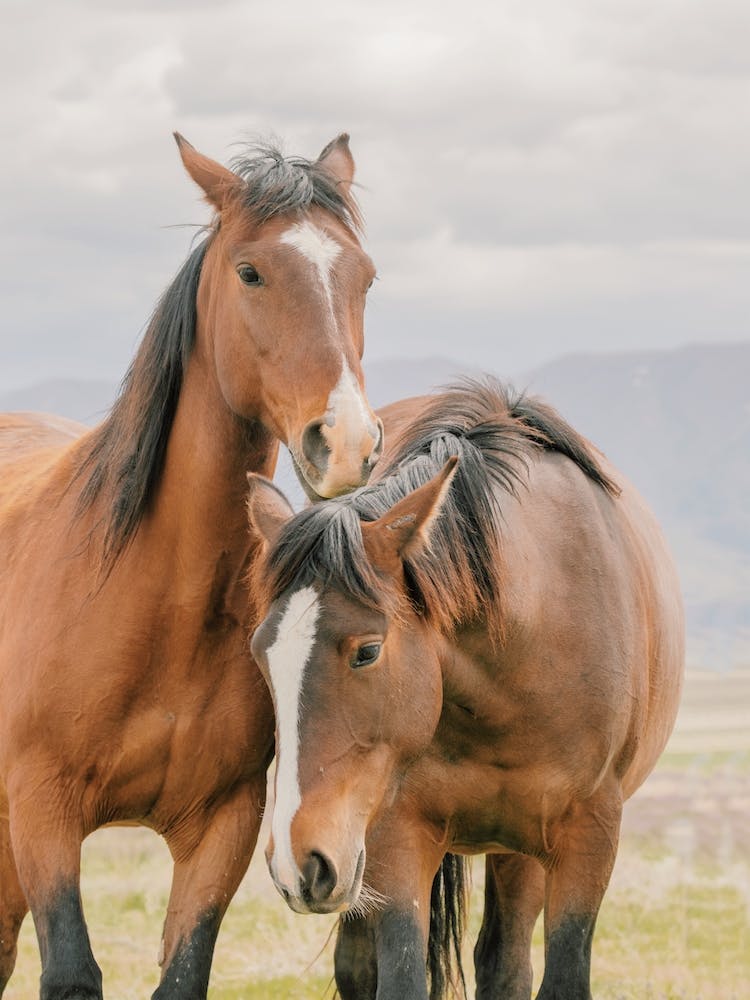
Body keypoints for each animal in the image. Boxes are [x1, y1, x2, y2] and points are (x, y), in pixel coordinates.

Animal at [0, 130, 383, 999]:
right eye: (250, 271)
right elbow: (70, 970)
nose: (345, 441)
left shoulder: (222, 827)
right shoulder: (41, 809)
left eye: (364, 275)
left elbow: (183, 972)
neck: (154, 601)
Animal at [247, 377, 685, 1000]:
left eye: (367, 651)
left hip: (516, 853)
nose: (295, 862)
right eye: (261, 655)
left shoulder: (589, 838)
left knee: (505, 962)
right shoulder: (397, 838)